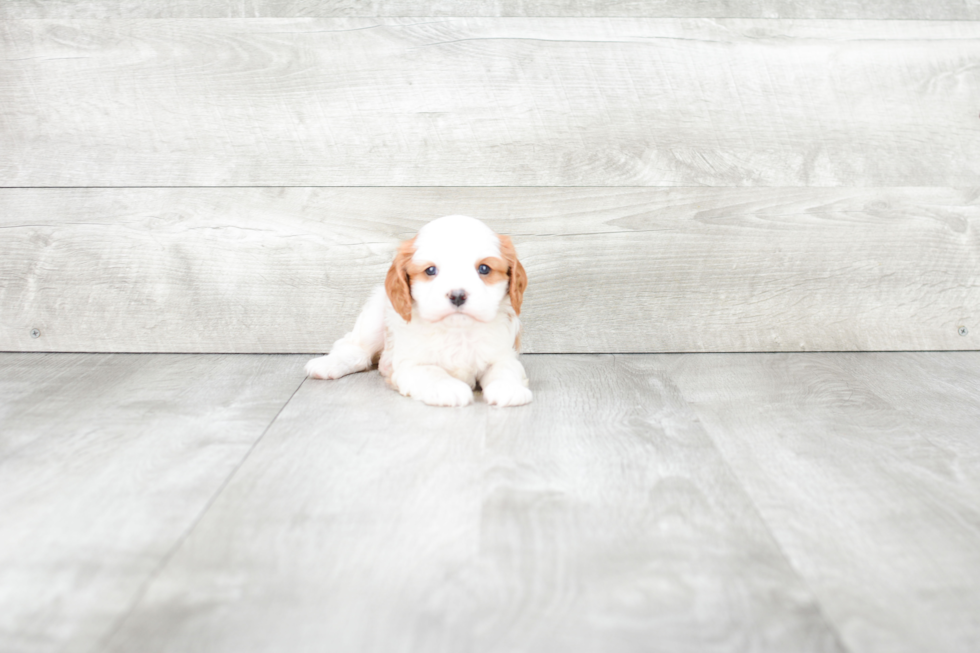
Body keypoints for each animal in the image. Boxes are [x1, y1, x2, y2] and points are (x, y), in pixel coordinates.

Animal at [308, 216, 532, 404]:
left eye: (484, 269)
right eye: (430, 270)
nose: (457, 295)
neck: (457, 332)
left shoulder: (503, 353)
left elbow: (505, 369)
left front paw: (507, 388)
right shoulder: (410, 364)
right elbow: (431, 371)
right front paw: (448, 388)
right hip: (375, 315)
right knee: (355, 347)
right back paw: (327, 365)